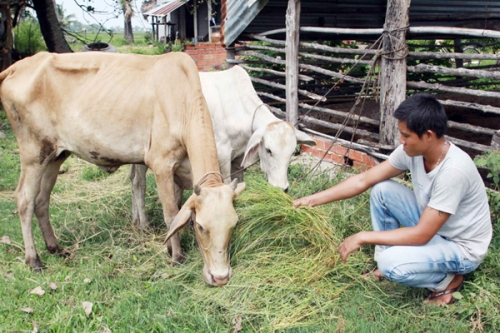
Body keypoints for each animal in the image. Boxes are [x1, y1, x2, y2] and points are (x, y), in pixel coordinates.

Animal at [0, 51, 246, 286]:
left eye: (233, 225)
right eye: (201, 226)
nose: (220, 277)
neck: (181, 99)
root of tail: (16, 67)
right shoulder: (161, 163)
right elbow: (170, 214)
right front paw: (176, 256)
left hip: (56, 155)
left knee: (42, 199)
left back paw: (55, 247)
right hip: (34, 153)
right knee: (24, 199)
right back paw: (34, 260)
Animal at [130, 65, 316, 226]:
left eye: (292, 153)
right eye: (268, 150)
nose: (282, 188)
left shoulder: (238, 159)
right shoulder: (222, 158)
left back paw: (135, 219)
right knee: (139, 183)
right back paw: (144, 224)